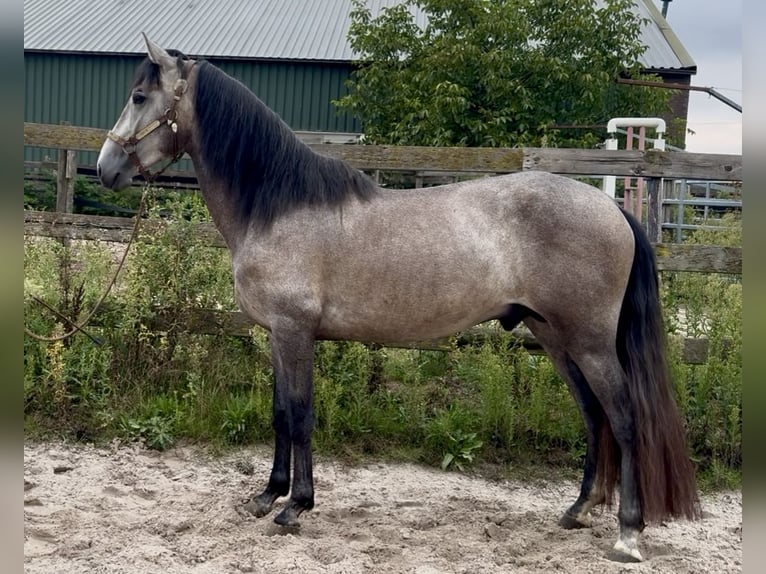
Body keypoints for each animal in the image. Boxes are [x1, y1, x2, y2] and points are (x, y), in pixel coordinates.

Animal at [97, 34, 700, 562]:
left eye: (139, 96)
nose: (105, 169)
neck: (277, 206)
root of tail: (613, 209)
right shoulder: (275, 335)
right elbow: (279, 413)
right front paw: (267, 496)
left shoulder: (295, 332)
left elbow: (301, 415)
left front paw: (296, 507)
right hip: (554, 337)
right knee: (594, 415)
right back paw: (578, 510)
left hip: (590, 342)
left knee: (625, 418)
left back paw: (628, 535)